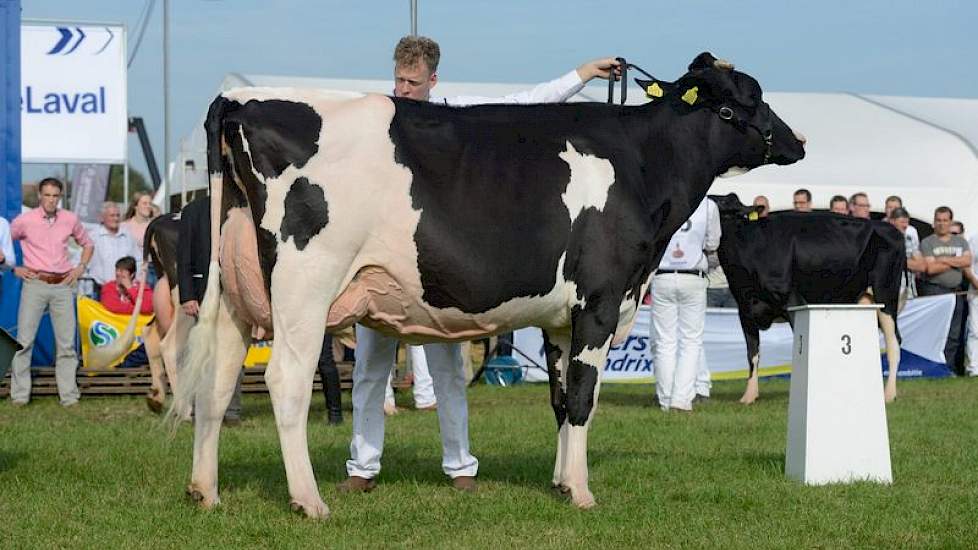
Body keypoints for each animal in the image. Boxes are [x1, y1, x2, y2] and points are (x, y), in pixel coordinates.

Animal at [704, 194, 904, 406]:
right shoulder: (745, 310)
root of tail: (890, 229)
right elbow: (752, 353)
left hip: (885, 293)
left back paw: (889, 394)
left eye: (723, 204)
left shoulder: (793, 302)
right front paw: (749, 396)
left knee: (894, 341)